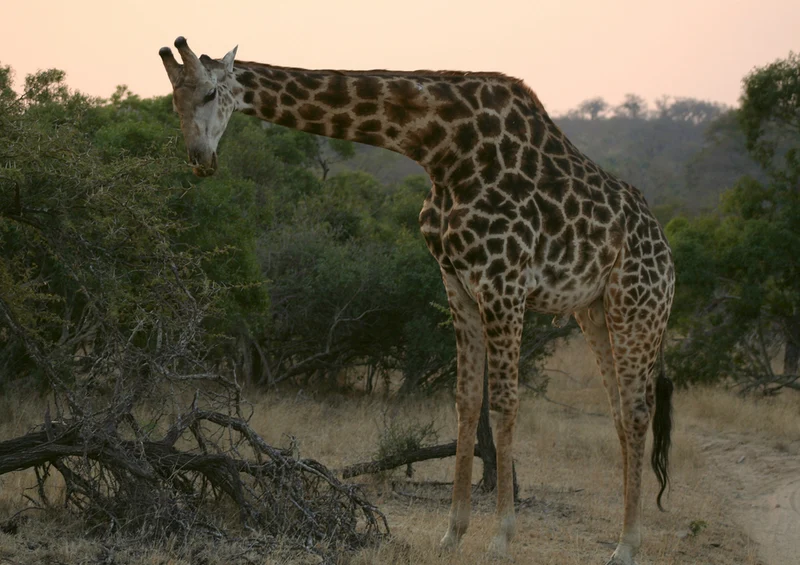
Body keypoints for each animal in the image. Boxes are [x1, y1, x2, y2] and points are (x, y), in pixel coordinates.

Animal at [159, 37, 675, 565]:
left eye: (208, 93)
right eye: (173, 101)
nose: (200, 159)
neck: (442, 148)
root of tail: (664, 246)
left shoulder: (504, 280)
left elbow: (504, 404)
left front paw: (501, 536)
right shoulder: (456, 280)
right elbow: (466, 401)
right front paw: (453, 532)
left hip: (638, 306)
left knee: (638, 410)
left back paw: (627, 545)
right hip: (593, 312)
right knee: (620, 411)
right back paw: (624, 535)